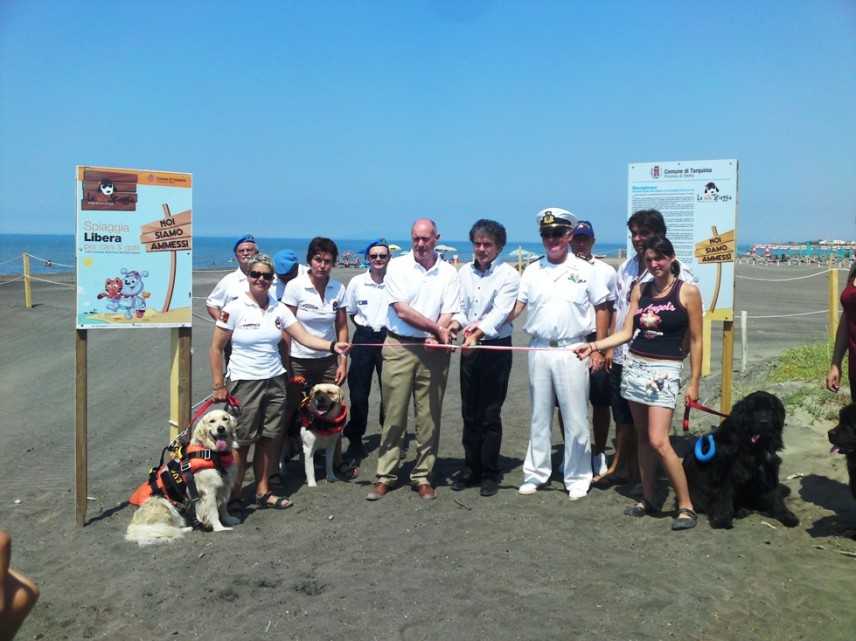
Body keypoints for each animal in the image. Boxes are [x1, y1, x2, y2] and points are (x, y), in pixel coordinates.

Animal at [123, 410, 239, 544]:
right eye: (212, 421)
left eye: (225, 419)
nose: (221, 428)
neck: (213, 453)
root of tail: (134, 526)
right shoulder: (208, 491)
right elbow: (214, 511)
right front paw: (219, 528)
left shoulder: (225, 486)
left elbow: (224, 506)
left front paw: (229, 519)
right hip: (164, 502)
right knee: (166, 528)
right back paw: (187, 528)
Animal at [684, 392, 796, 528]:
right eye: (754, 410)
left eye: (771, 409)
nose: (764, 422)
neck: (751, 446)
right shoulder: (724, 472)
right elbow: (723, 497)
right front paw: (721, 520)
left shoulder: (768, 467)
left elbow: (775, 495)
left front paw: (786, 516)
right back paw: (740, 511)